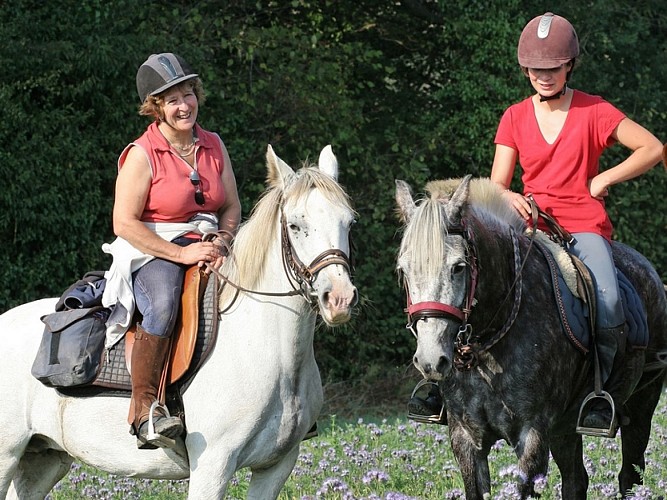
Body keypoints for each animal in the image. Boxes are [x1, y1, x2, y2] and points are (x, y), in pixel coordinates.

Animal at [0, 144, 360, 496]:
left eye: (349, 222)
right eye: (296, 225)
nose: (339, 299)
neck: (269, 351)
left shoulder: (276, 467)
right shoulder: (213, 466)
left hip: (45, 458)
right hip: (8, 456)